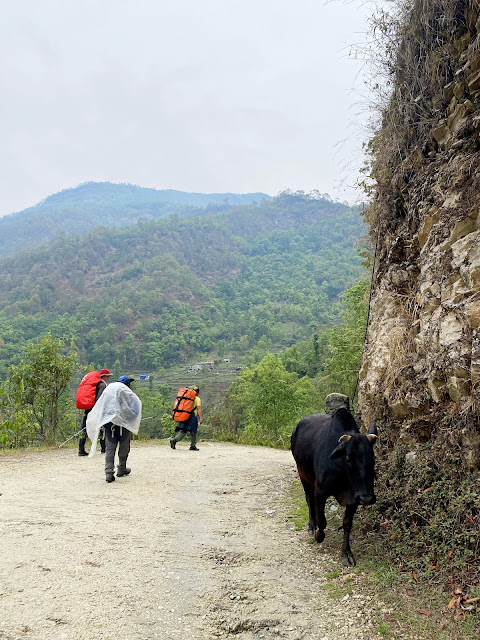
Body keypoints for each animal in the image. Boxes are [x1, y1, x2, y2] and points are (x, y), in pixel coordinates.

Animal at [290, 410, 376, 564]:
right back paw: (312, 527)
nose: (366, 498)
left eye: (372, 458)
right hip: (302, 474)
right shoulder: (320, 492)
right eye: (348, 458)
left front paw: (346, 554)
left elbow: (347, 523)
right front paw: (319, 536)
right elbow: (322, 520)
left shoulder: (354, 498)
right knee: (309, 501)